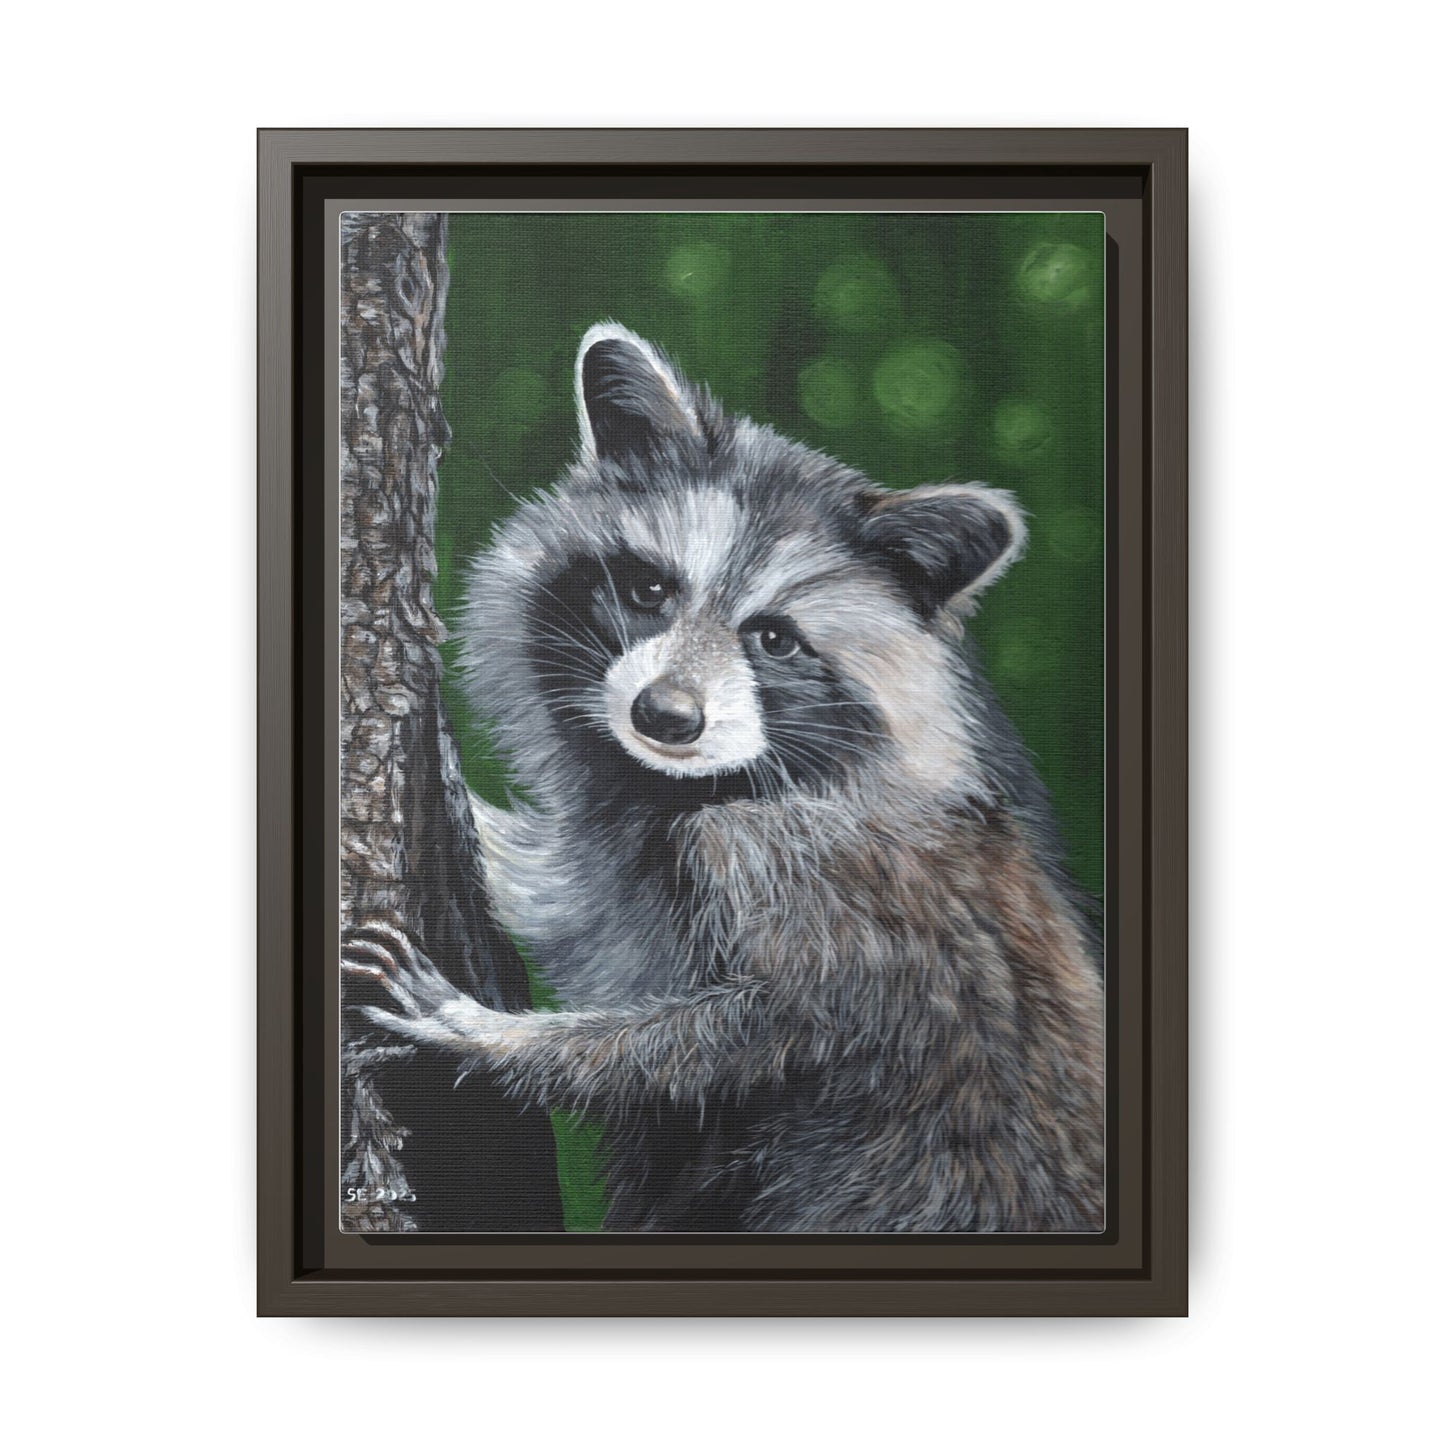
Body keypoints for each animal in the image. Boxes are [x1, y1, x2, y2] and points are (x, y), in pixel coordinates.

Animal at [345, 323, 1104, 1233]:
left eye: (773, 638)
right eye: (649, 589)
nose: (665, 717)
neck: (693, 786)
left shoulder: (818, 876)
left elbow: (744, 1035)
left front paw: (487, 1032)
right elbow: (568, 898)